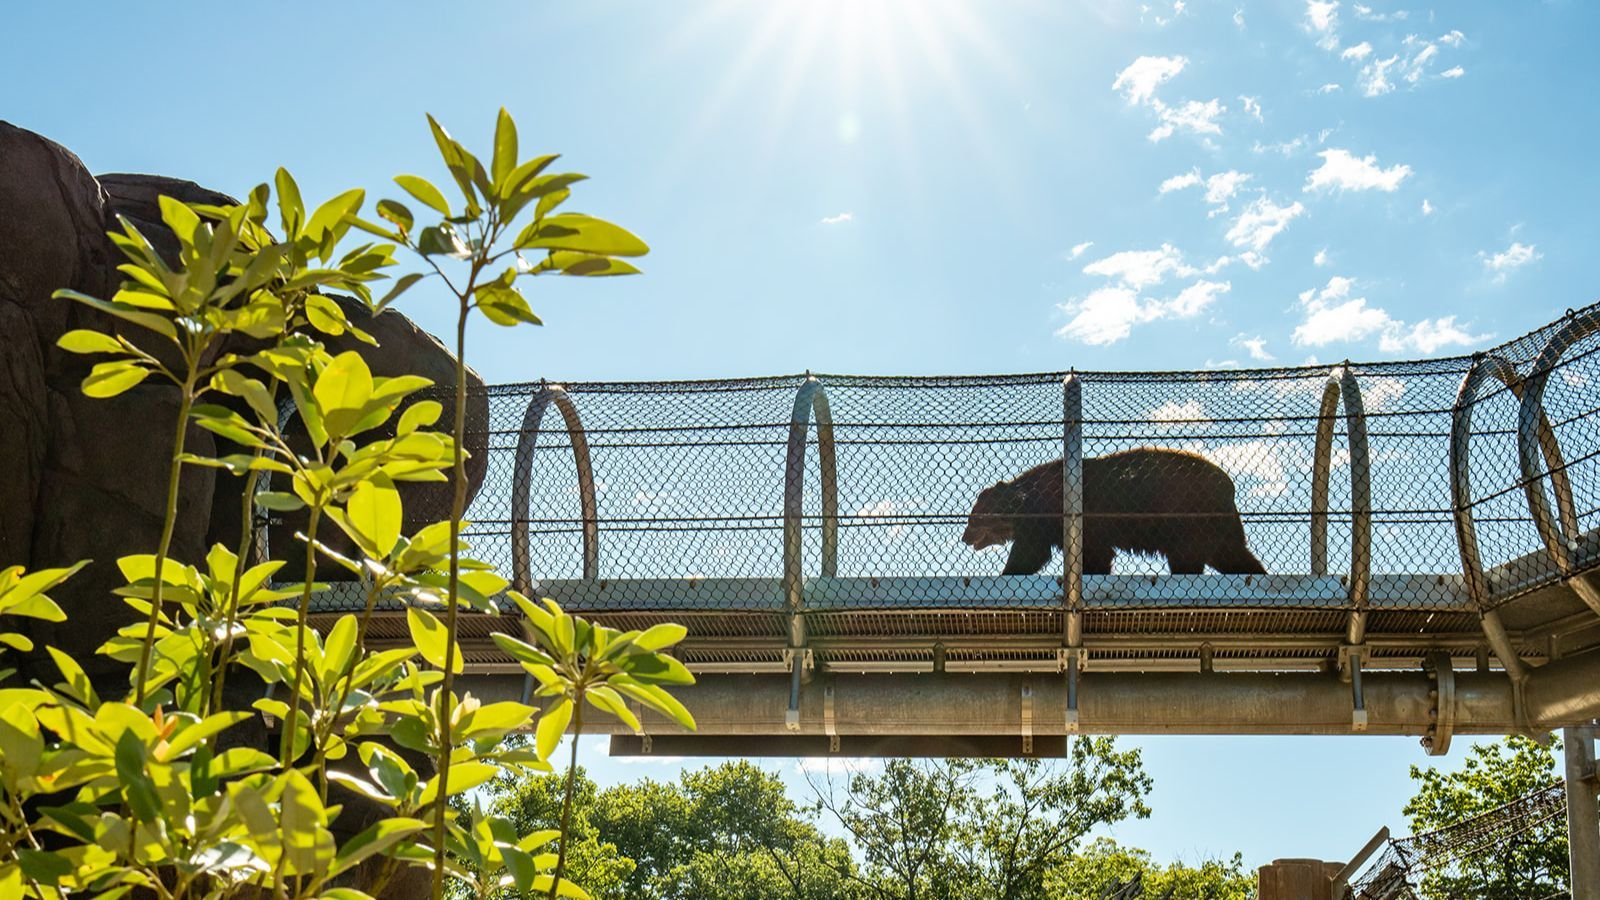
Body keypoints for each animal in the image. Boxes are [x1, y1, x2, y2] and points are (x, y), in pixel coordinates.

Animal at [962, 447, 1266, 576]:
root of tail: (1228, 485)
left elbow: (1094, 554)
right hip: (1217, 527)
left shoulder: (1067, 515)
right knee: (1233, 555)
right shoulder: (1046, 528)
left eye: (974, 517)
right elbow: (1032, 554)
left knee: (1188, 557)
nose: (965, 537)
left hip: (1188, 515)